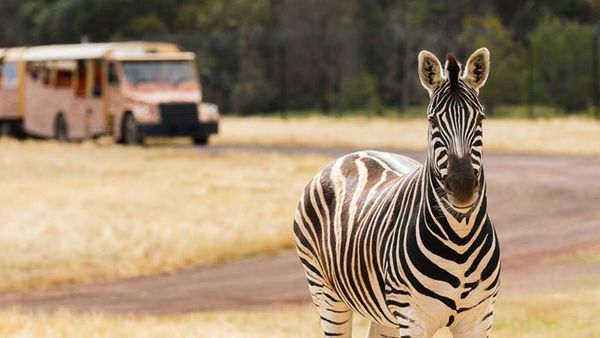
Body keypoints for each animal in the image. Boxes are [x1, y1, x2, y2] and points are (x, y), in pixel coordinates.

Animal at [292, 48, 500, 338]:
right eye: (432, 121)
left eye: (480, 118)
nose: (462, 187)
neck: (461, 238)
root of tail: (354, 154)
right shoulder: (413, 317)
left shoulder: (480, 318)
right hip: (326, 294)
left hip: (383, 315)